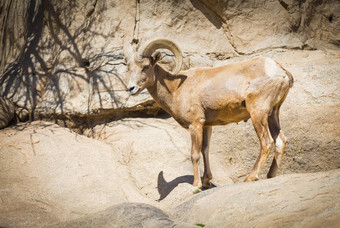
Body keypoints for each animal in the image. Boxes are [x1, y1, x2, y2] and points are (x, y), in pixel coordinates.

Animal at [125, 38, 292, 189]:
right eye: (129, 68)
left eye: (145, 66)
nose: (131, 88)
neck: (176, 89)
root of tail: (282, 73)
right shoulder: (206, 126)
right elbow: (205, 150)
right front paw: (206, 181)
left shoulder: (195, 125)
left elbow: (194, 154)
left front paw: (196, 185)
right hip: (272, 114)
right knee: (280, 141)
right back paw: (270, 175)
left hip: (258, 113)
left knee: (267, 142)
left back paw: (251, 177)